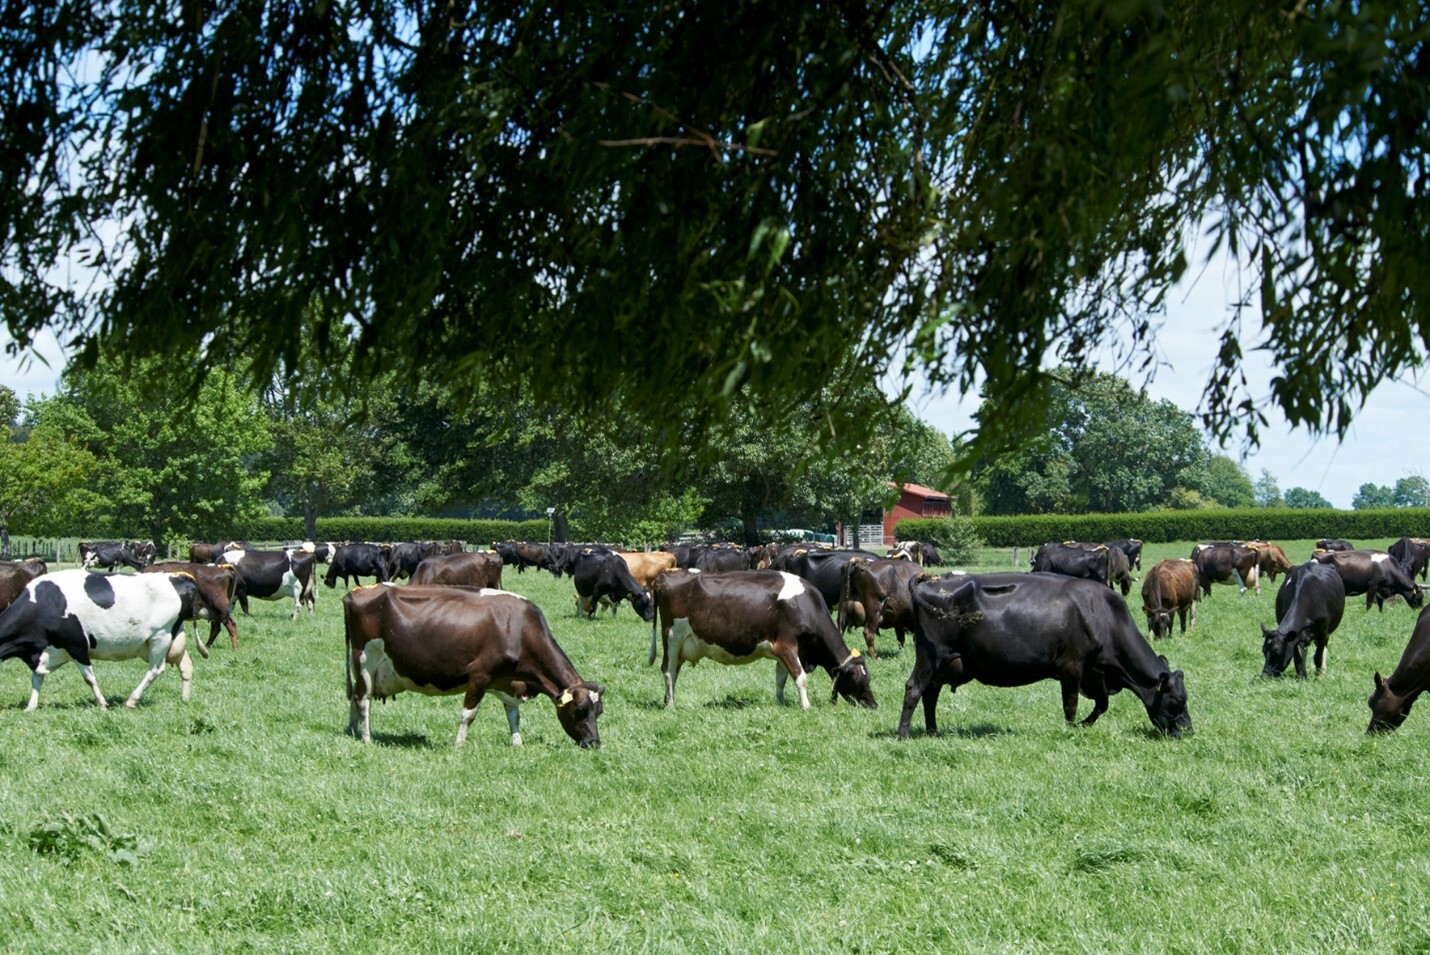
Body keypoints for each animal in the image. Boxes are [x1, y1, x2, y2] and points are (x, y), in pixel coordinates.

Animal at [0, 566, 217, 709]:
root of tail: (178, 576)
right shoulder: (44, 651)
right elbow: (36, 679)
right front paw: (31, 706)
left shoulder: (77, 645)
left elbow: (89, 678)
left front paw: (102, 703)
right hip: (173, 637)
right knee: (186, 665)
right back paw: (185, 699)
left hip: (160, 636)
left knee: (155, 669)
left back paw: (131, 700)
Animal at [343, 586, 606, 749]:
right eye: (579, 710)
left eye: (599, 712)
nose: (594, 743)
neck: (517, 629)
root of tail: (358, 592)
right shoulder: (480, 674)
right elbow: (468, 714)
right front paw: (458, 745)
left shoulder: (508, 681)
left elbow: (514, 716)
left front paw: (517, 743)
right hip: (365, 659)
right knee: (363, 699)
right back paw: (367, 738)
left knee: (354, 695)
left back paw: (352, 731)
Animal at [898, 574, 1189, 737]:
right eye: (1177, 701)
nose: (1188, 731)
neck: (1105, 615)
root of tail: (930, 581)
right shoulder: (1072, 666)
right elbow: (1070, 705)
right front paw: (1071, 730)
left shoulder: (1094, 672)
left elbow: (1102, 704)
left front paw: (1084, 725)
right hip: (930, 656)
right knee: (914, 688)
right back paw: (903, 734)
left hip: (944, 662)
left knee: (930, 694)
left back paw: (933, 731)